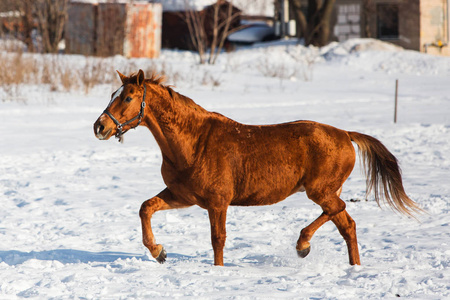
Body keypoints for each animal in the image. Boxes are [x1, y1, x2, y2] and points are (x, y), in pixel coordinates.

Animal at [93, 69, 420, 264]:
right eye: (112, 96)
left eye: (128, 97)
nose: (100, 127)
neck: (194, 143)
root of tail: (345, 134)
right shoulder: (183, 196)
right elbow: (145, 208)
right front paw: (159, 252)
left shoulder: (218, 202)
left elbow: (218, 240)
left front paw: (218, 270)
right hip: (325, 191)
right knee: (345, 223)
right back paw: (343, 262)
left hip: (320, 190)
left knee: (340, 214)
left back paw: (304, 244)